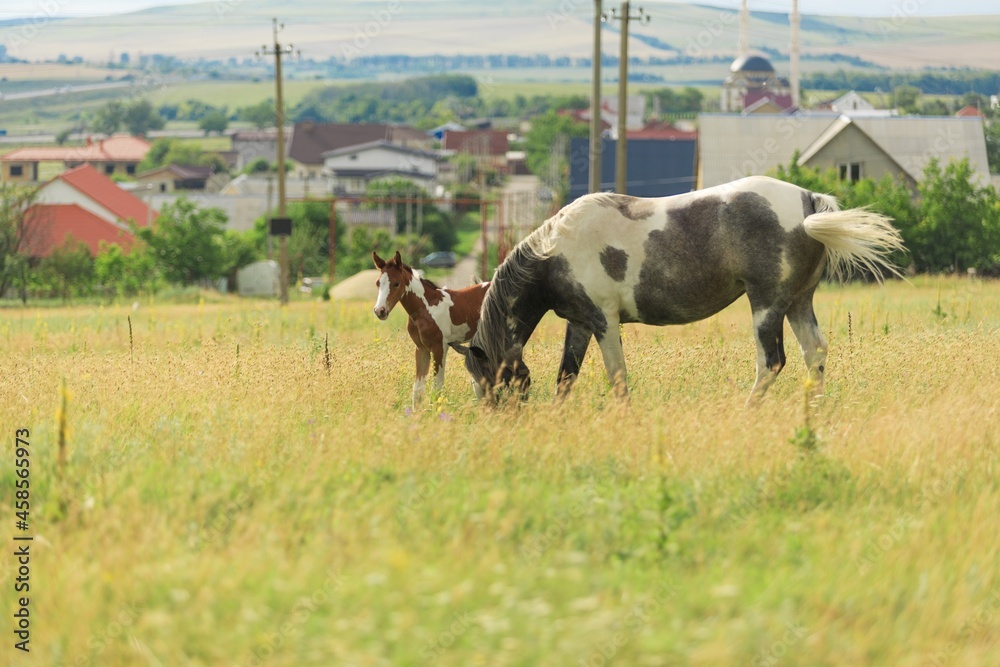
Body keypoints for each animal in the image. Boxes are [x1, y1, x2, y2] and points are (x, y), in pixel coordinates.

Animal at [372, 252, 492, 404]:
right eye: (377, 283)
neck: (426, 309)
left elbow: (437, 387)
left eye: (396, 283)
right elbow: (418, 390)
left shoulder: (440, 347)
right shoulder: (421, 349)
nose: (380, 311)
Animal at [458, 176, 904, 402]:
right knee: (815, 353)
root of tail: (808, 201)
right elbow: (566, 377)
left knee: (771, 362)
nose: (499, 424)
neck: (558, 251)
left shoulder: (605, 322)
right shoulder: (580, 324)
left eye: (491, 383)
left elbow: (617, 377)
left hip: (767, 306)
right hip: (797, 303)